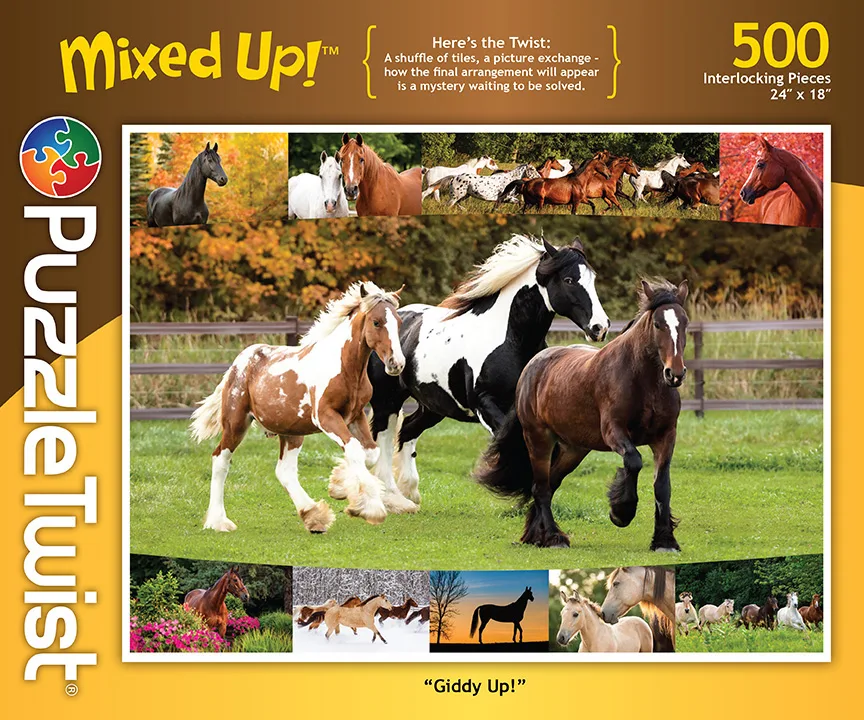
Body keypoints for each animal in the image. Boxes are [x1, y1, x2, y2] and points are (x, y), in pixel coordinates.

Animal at [190, 282, 407, 534]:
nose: (396, 363)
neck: (344, 368)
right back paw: (218, 521)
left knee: (284, 471)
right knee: (220, 460)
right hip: (236, 424)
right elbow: (354, 449)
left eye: (399, 322)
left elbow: (370, 453)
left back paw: (314, 516)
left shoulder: (355, 416)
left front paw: (342, 490)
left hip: (291, 432)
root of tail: (239, 363)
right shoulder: (326, 417)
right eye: (376, 322)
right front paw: (371, 508)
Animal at [368, 234, 609, 507]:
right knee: (383, 440)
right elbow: (513, 444)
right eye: (569, 280)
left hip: (433, 406)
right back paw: (389, 497)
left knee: (407, 430)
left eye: (592, 278)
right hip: (386, 400)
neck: (509, 340)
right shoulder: (485, 404)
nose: (600, 327)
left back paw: (410, 494)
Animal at [476, 279, 688, 552]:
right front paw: (621, 512)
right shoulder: (614, 432)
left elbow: (662, 487)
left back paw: (536, 536)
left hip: (573, 449)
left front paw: (665, 541)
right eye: (658, 324)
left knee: (549, 484)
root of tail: (532, 366)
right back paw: (554, 538)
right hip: (538, 439)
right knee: (541, 487)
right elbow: (634, 461)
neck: (644, 382)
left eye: (685, 322)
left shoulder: (665, 436)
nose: (675, 373)